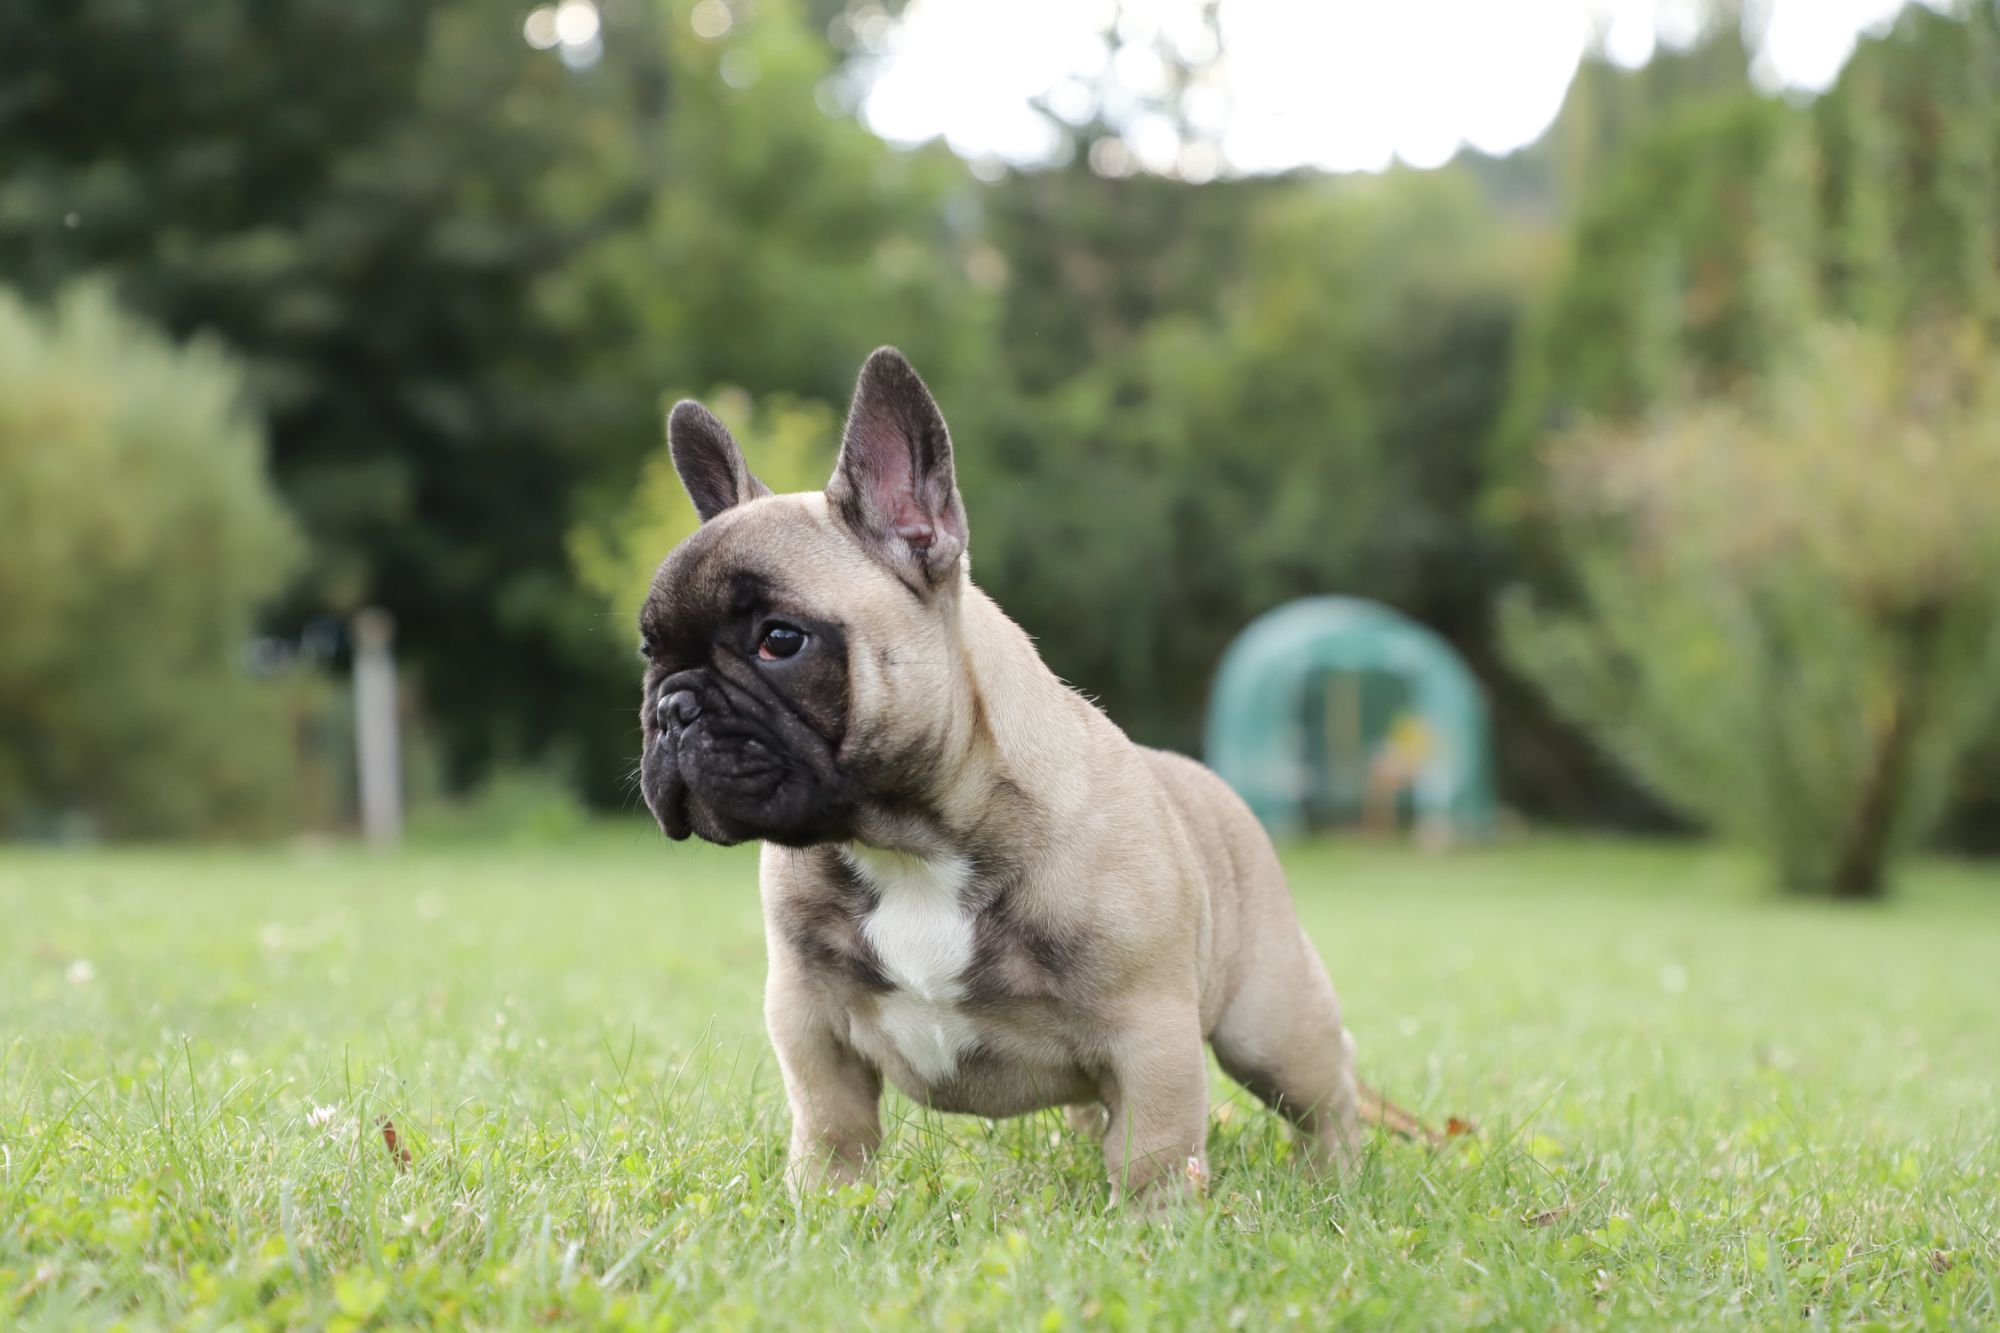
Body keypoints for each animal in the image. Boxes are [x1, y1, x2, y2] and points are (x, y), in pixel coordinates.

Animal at [639, 347, 1425, 1205]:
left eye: (780, 639)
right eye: (650, 651)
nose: (672, 709)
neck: (909, 840)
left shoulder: (1150, 1030)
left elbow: (1156, 1148)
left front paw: (1157, 1223)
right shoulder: (809, 1022)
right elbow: (832, 1129)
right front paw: (827, 1207)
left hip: (1271, 1024)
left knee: (1326, 1092)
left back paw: (1335, 1178)